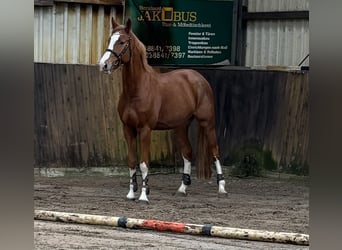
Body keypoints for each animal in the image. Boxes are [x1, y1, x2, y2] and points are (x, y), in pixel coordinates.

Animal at [99, 17, 227, 202]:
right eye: (110, 39)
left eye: (122, 42)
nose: (104, 65)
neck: (137, 90)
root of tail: (198, 78)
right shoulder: (128, 129)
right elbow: (131, 161)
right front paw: (131, 194)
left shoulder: (145, 129)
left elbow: (144, 164)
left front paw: (143, 196)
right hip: (180, 126)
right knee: (187, 152)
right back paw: (182, 188)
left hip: (207, 122)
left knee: (215, 151)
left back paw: (222, 188)